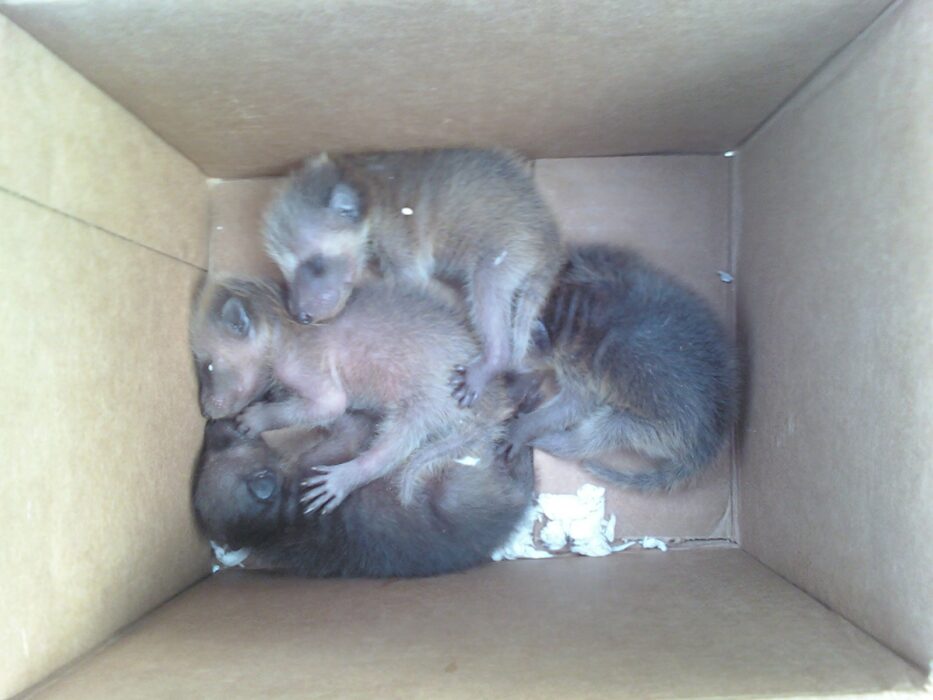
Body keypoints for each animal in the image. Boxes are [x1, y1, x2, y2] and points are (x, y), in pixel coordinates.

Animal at [189, 274, 510, 516]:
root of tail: (490, 408)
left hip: (423, 406)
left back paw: (343, 477)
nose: (204, 412)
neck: (281, 328)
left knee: (388, 452)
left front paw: (257, 418)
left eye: (208, 365)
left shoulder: (306, 368)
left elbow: (327, 405)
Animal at [191, 412, 532, 576]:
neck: (276, 524)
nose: (212, 422)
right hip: (454, 488)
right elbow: (350, 426)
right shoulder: (322, 458)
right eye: (227, 443)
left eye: (216, 447)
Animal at [260, 150, 560, 408]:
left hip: (508, 245)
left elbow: (409, 279)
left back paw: (495, 357)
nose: (299, 315)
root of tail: (549, 239)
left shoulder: (397, 231)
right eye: (283, 268)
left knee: (486, 288)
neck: (362, 181)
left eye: (316, 266)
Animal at [506, 246, 740, 492]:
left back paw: (564, 443)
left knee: (610, 430)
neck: (572, 313)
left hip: (659, 426)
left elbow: (573, 406)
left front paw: (526, 425)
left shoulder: (579, 367)